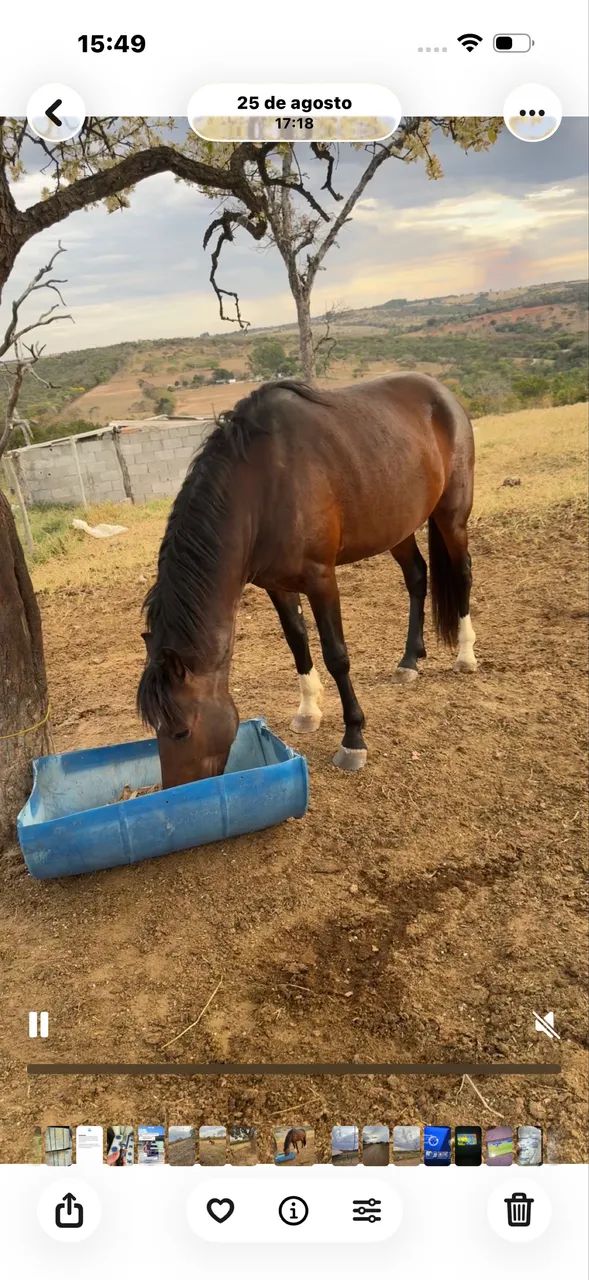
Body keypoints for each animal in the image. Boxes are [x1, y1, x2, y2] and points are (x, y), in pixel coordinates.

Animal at [137, 374, 477, 787]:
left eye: (181, 731)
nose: (175, 791)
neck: (263, 485)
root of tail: (443, 394)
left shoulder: (321, 579)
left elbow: (336, 655)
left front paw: (353, 739)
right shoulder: (277, 585)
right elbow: (297, 642)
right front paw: (308, 711)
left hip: (451, 514)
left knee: (462, 572)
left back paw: (465, 654)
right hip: (398, 527)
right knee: (416, 577)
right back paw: (410, 660)